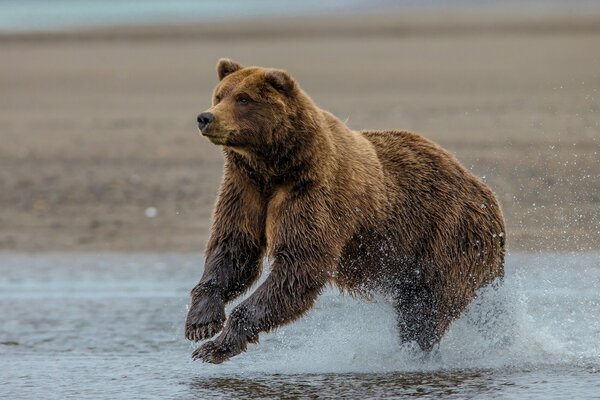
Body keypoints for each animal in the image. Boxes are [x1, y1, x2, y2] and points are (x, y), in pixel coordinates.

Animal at [185, 58, 504, 362]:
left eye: (244, 99)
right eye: (219, 95)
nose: (205, 117)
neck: (273, 166)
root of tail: (486, 193)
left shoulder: (312, 192)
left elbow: (299, 264)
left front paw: (215, 347)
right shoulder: (245, 188)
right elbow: (233, 249)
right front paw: (200, 322)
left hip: (447, 236)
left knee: (426, 308)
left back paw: (413, 352)